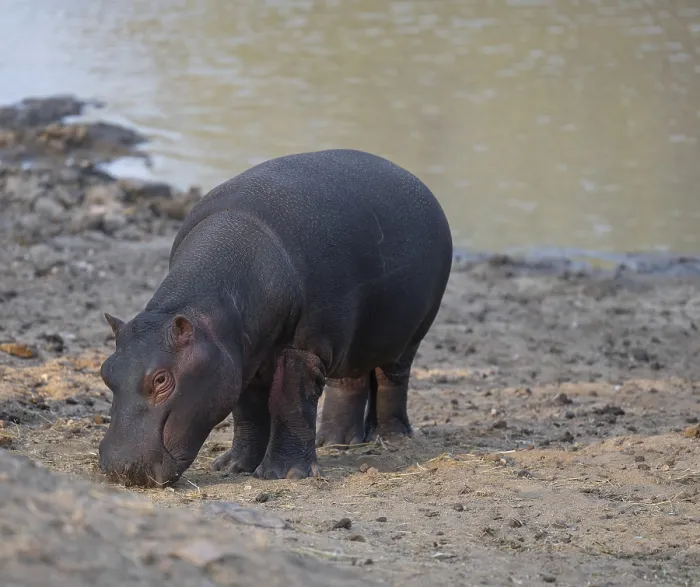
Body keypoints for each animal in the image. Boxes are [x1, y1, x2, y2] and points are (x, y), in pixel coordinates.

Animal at [98, 149, 452, 487]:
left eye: (161, 380)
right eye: (106, 372)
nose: (119, 470)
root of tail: (414, 179)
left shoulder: (303, 349)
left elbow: (289, 403)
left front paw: (285, 474)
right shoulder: (240, 357)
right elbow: (248, 412)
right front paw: (233, 467)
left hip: (409, 335)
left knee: (392, 379)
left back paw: (392, 439)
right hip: (351, 341)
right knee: (349, 382)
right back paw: (334, 442)